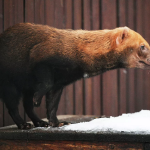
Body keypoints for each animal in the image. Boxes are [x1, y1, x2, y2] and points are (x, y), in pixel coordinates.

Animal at [0, 22, 150, 129]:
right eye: (143, 46)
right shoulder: (41, 58)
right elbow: (45, 86)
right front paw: (37, 100)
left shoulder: (60, 82)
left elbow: (52, 104)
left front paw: (57, 123)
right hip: (9, 84)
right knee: (13, 106)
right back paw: (24, 124)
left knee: (27, 106)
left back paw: (40, 122)